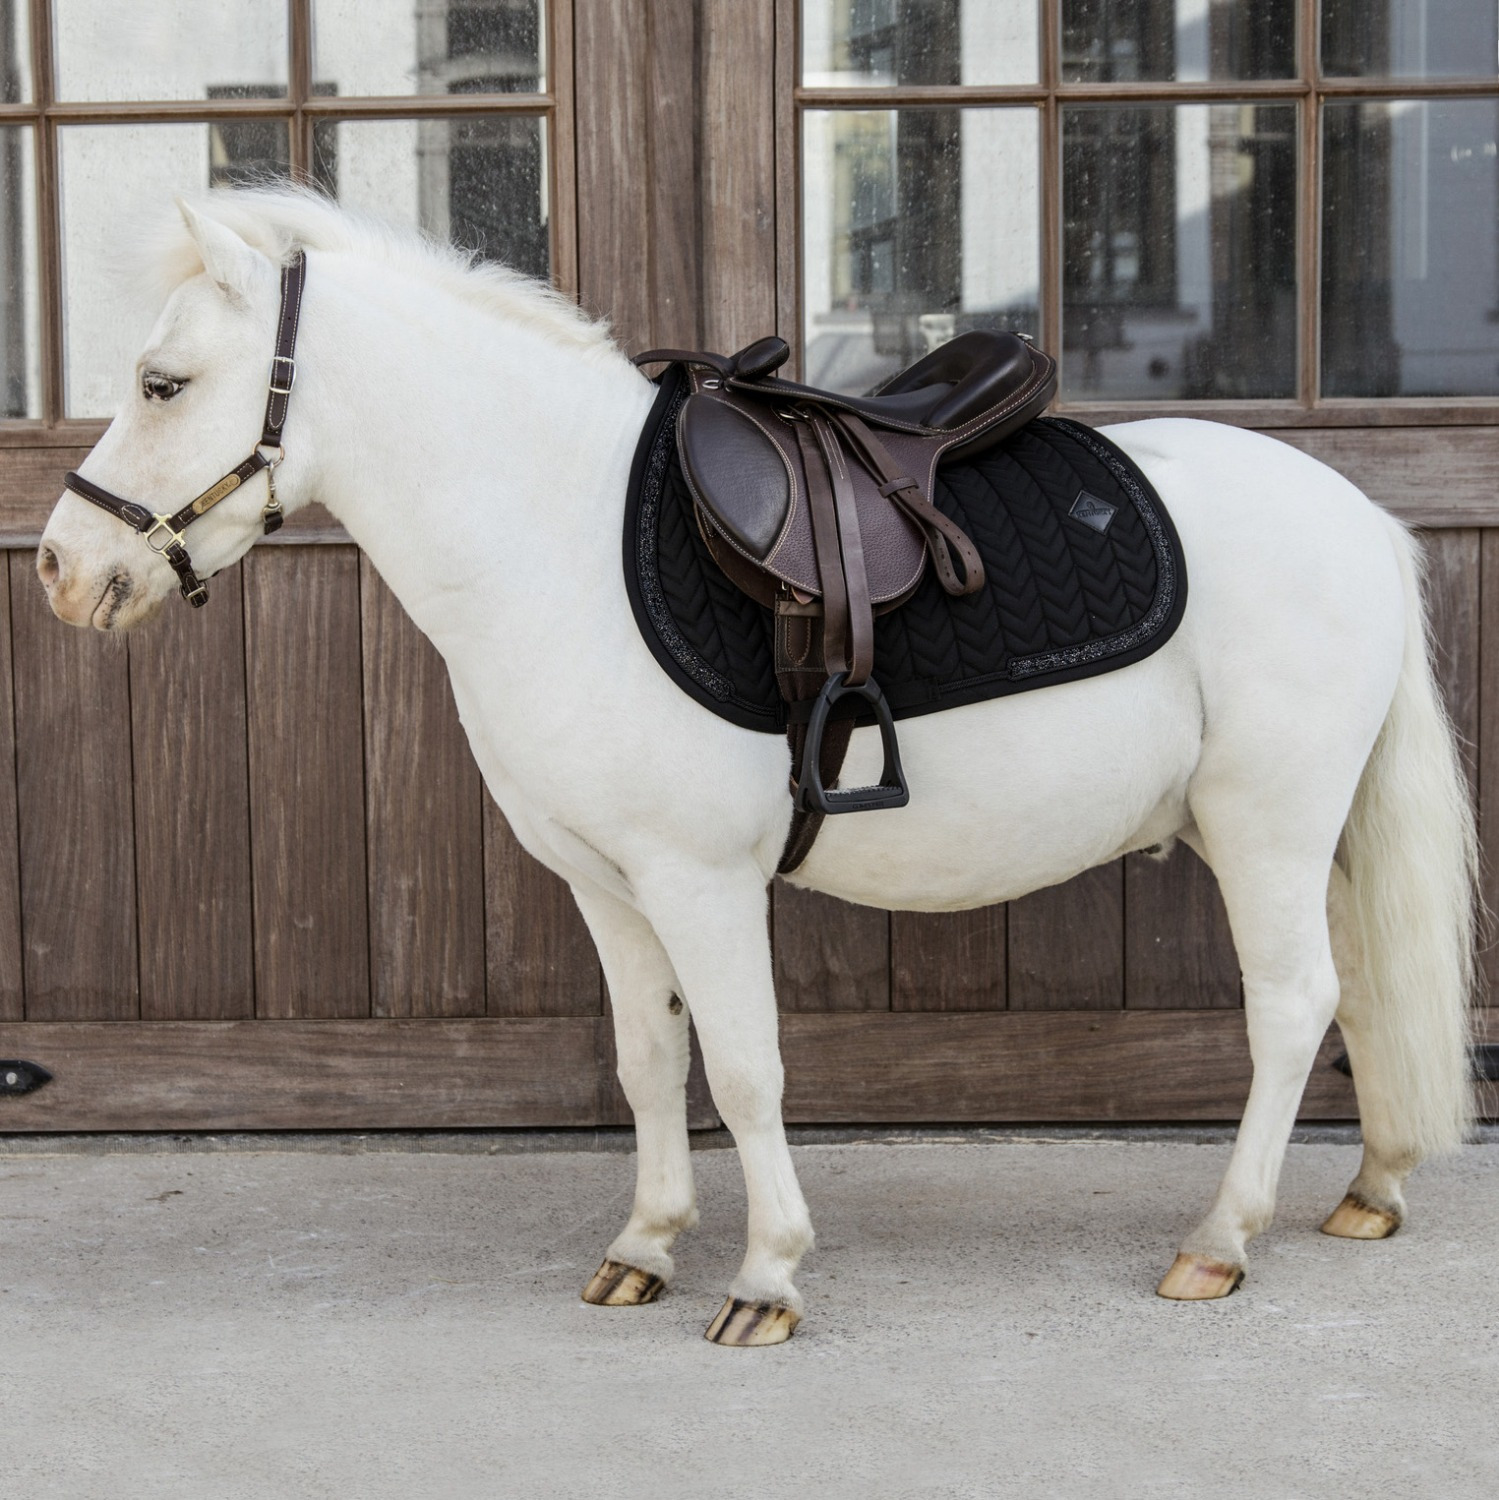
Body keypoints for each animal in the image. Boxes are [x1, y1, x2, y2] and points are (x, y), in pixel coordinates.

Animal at [36, 189, 1477, 1347]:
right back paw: (1368, 1190)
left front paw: (765, 1279)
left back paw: (1217, 1243)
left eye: (161, 383)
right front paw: (641, 1249)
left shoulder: (699, 882)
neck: (552, 536)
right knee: (1356, 997)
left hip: (1263, 827)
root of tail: (1356, 512)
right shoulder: (605, 886)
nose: (58, 567)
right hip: (1314, 833)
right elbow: (646, 1062)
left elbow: (742, 1070)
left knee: (1288, 1007)